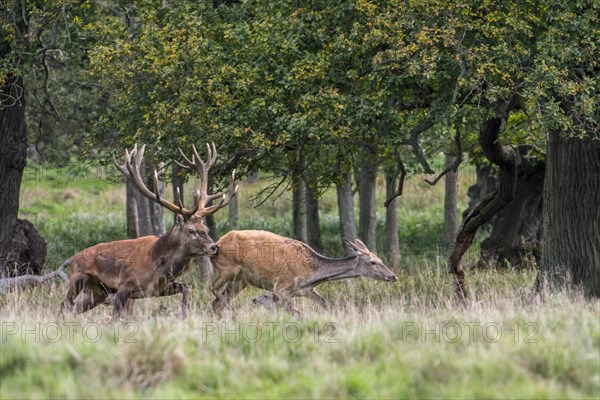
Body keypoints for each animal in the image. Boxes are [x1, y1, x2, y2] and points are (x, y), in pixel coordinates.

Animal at [59, 143, 237, 318]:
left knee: (73, 309)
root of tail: (73, 259)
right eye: (191, 230)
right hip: (77, 279)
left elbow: (187, 288)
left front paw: (184, 315)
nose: (214, 247)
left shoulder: (159, 288)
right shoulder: (124, 286)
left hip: (97, 292)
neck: (157, 267)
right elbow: (115, 317)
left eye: (205, 228)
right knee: (64, 305)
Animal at [211, 231, 398, 316]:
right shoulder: (281, 287)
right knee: (214, 292)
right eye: (373, 262)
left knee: (217, 301)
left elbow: (325, 303)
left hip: (241, 280)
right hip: (227, 269)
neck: (311, 274)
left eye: (380, 259)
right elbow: (298, 313)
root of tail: (218, 242)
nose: (393, 276)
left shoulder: (306, 290)